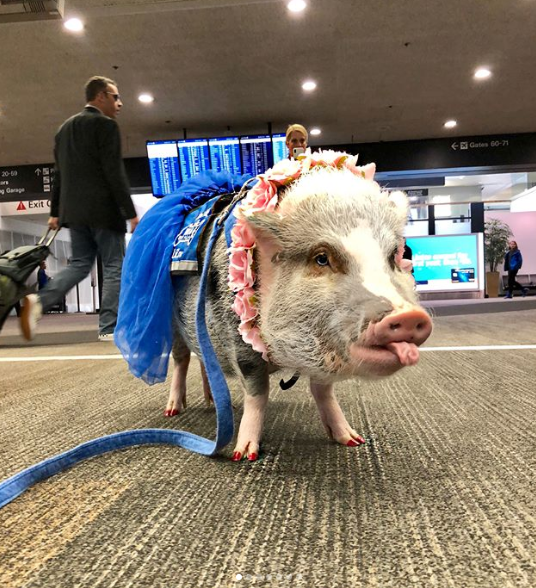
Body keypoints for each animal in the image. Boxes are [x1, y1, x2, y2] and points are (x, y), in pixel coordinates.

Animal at [165, 154, 434, 462]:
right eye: (321, 258)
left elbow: (323, 390)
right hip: (170, 324)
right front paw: (244, 454)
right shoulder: (240, 343)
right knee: (181, 359)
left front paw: (352, 440)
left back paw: (215, 404)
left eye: (392, 257)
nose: (409, 316)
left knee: (204, 360)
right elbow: (258, 394)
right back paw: (174, 410)